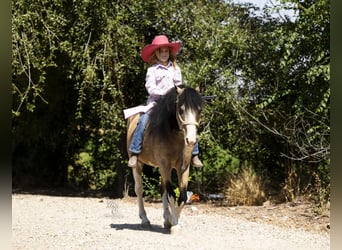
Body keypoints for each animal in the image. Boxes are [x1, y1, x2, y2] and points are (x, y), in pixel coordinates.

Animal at [127, 85, 204, 233]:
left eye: (199, 110)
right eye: (181, 109)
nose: (191, 141)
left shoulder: (183, 167)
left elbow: (183, 196)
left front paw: (172, 221)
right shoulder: (165, 166)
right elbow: (171, 194)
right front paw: (175, 225)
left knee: (162, 190)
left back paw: (166, 218)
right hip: (138, 164)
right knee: (139, 189)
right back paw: (145, 220)